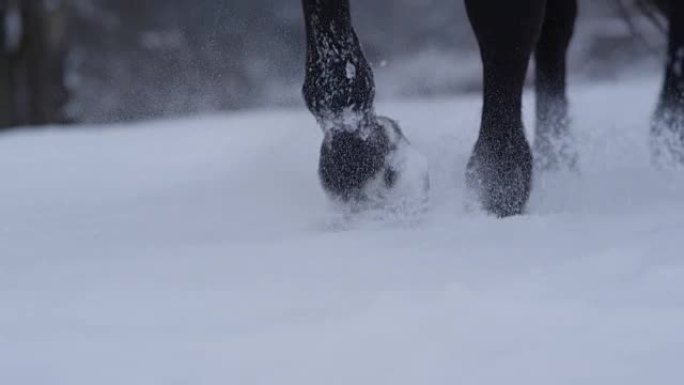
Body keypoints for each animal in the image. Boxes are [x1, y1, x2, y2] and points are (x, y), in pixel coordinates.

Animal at [302, 0, 680, 216]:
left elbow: (503, 25)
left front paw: (496, 189)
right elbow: (332, 50)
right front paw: (364, 166)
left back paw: (670, 143)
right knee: (556, 31)